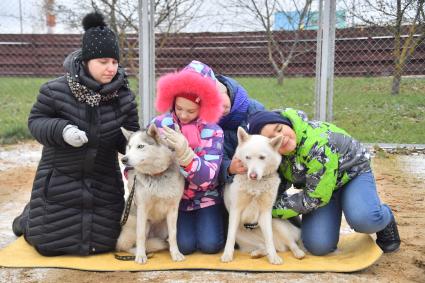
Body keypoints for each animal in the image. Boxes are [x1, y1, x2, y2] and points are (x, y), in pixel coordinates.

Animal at [115, 125, 185, 266]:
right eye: (129, 147)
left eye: (140, 146)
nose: (124, 159)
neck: (157, 175)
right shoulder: (142, 209)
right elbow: (140, 235)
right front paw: (141, 256)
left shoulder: (173, 210)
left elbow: (173, 235)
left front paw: (175, 254)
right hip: (142, 224)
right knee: (124, 246)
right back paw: (140, 251)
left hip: (163, 228)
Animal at [219, 127, 304, 266]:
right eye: (247, 157)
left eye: (262, 157)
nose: (252, 175)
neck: (255, 186)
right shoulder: (235, 211)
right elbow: (230, 238)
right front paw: (227, 255)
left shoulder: (265, 212)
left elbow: (269, 238)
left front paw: (274, 258)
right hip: (242, 238)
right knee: (264, 246)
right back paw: (257, 253)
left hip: (278, 224)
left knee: (290, 243)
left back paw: (298, 253)